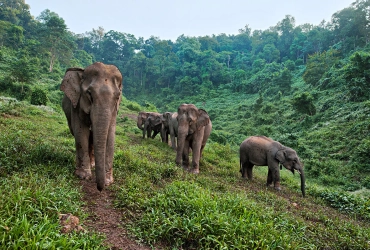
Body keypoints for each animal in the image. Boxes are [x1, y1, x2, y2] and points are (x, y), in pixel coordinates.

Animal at [60, 62, 123, 191]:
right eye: (89, 94)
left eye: (117, 97)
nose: (100, 188)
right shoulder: (76, 104)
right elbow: (81, 132)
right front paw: (83, 176)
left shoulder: (114, 110)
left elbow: (110, 135)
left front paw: (108, 181)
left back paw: (93, 164)